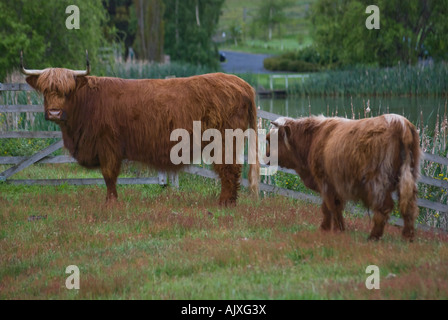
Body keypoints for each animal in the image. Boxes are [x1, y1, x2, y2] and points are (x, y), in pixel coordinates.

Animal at [21, 52, 260, 205]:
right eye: (45, 90)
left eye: (68, 91)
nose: (54, 113)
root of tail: (242, 84)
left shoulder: (108, 144)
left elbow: (109, 175)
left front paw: (111, 202)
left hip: (225, 141)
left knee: (229, 169)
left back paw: (225, 203)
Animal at [268, 115, 422, 240]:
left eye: (270, 140)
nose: (266, 156)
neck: (313, 138)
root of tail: (400, 123)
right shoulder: (333, 185)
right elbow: (327, 207)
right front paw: (324, 228)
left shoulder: (326, 181)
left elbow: (332, 206)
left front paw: (338, 230)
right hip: (408, 177)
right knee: (409, 206)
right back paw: (407, 237)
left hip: (378, 181)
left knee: (384, 207)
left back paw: (373, 237)